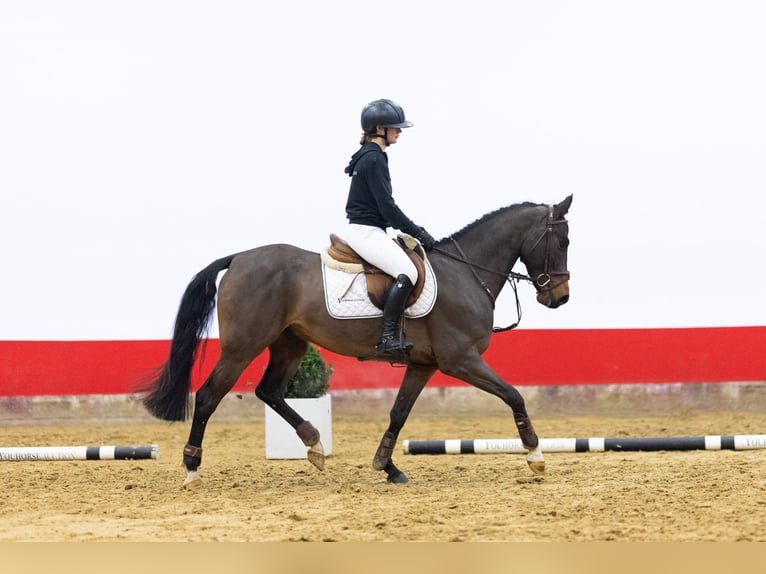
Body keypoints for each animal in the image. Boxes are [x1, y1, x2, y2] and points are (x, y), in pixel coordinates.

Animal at [140, 195, 572, 487]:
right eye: (563, 242)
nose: (560, 298)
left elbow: (399, 413)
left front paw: (388, 466)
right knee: (208, 396)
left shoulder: (424, 364)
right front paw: (535, 456)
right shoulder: (460, 360)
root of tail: (238, 258)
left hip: (289, 343)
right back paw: (192, 469)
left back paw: (314, 444)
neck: (465, 273)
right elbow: (514, 395)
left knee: (270, 391)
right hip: (242, 347)